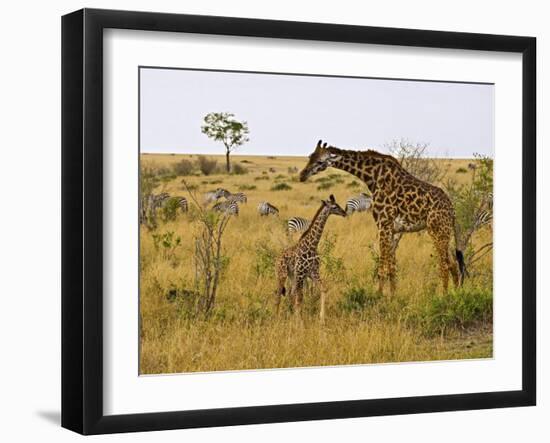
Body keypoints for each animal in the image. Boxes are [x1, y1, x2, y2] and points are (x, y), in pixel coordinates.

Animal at [276, 194, 350, 322]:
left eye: (337, 205)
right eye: (334, 206)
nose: (344, 213)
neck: (312, 245)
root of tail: (277, 259)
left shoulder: (313, 272)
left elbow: (323, 289)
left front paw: (322, 318)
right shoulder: (301, 274)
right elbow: (300, 297)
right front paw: (299, 321)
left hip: (291, 275)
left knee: (290, 293)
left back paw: (289, 313)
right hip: (282, 274)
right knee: (278, 293)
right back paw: (276, 316)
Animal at [300, 140, 468, 296]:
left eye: (320, 161)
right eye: (310, 156)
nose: (302, 175)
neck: (373, 177)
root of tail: (452, 210)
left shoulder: (383, 224)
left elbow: (382, 266)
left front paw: (378, 295)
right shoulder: (392, 229)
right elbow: (392, 267)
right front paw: (393, 296)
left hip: (437, 231)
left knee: (444, 265)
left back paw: (443, 296)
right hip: (444, 233)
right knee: (453, 264)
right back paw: (455, 294)